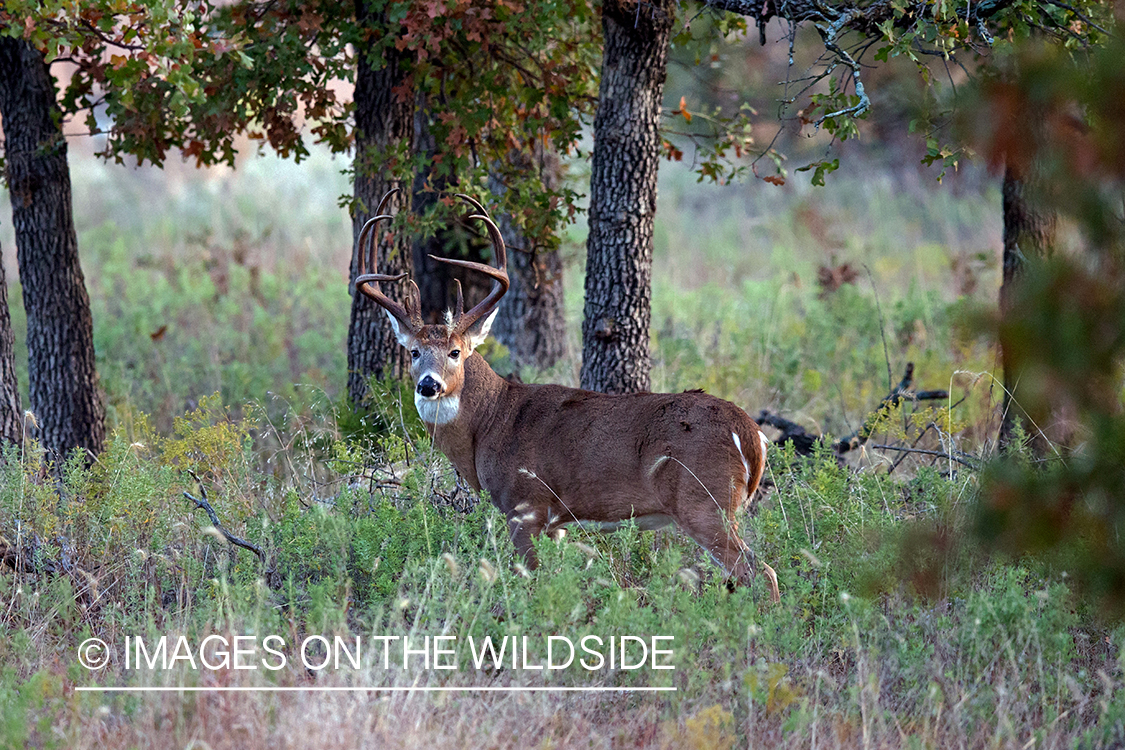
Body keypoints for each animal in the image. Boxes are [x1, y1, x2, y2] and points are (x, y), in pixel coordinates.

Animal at [355, 191, 778, 602]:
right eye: (413, 352)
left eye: (456, 352)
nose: (429, 385)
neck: (490, 423)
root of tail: (752, 435)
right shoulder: (556, 521)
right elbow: (556, 577)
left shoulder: (525, 504)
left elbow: (529, 578)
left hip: (704, 501)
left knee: (760, 570)